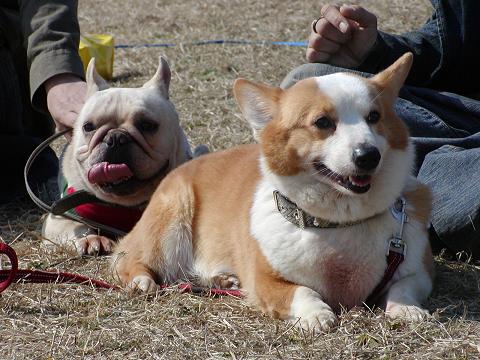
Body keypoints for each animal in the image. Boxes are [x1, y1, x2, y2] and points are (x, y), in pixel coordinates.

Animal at [113, 52, 436, 330]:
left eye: (374, 117)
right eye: (322, 122)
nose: (368, 156)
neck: (337, 221)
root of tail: (184, 164)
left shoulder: (419, 271)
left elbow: (403, 286)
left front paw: (407, 309)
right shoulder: (265, 280)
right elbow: (302, 291)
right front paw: (317, 315)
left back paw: (224, 280)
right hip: (171, 227)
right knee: (126, 258)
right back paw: (141, 281)